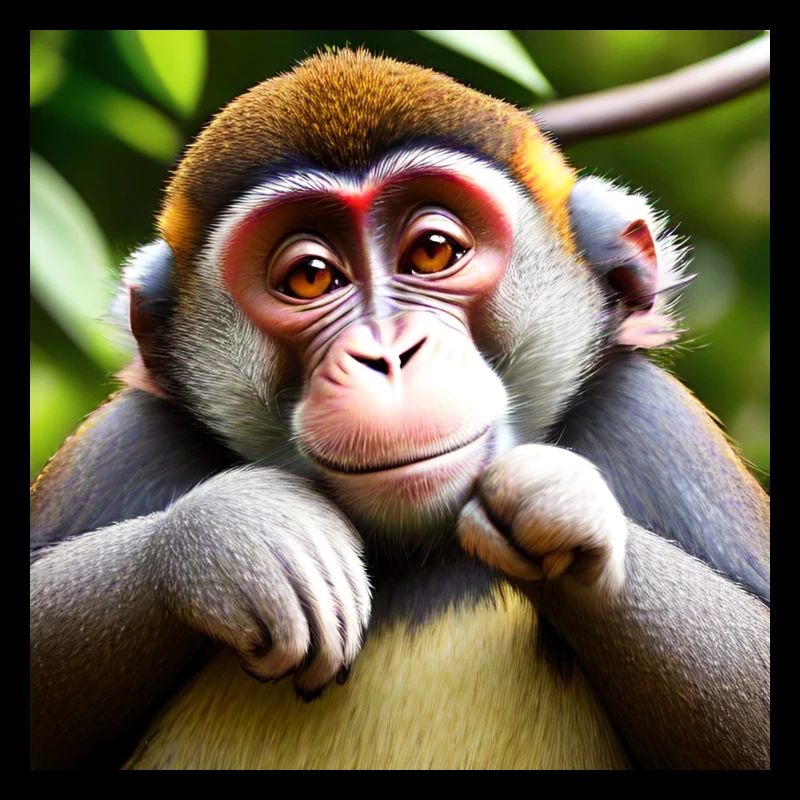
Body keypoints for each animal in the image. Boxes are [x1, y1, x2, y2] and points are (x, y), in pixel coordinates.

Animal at [30, 49, 769, 770]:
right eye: (310, 277)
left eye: (433, 251)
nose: (387, 355)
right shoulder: (128, 439)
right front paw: (235, 538)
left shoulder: (651, 421)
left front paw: (555, 509)